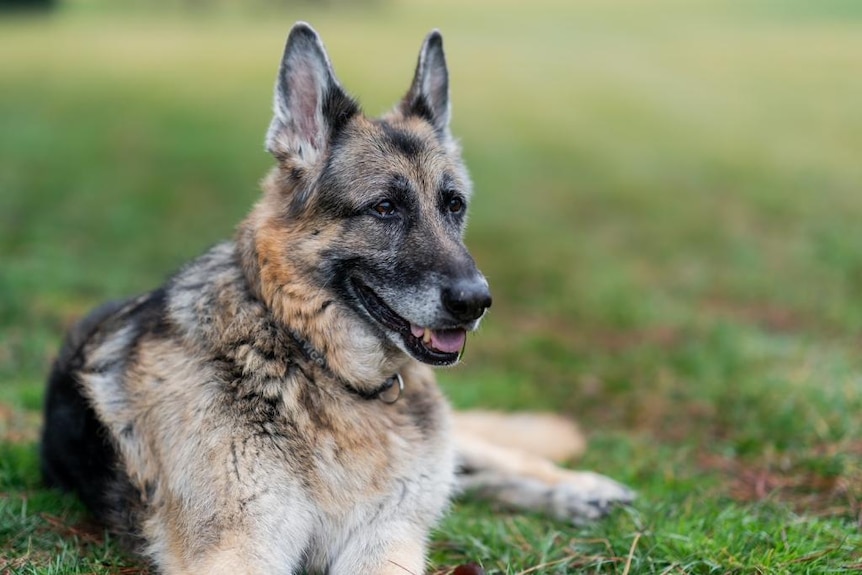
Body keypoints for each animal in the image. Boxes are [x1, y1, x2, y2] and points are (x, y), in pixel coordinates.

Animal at [40, 23, 636, 575]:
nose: (476, 302)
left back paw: (579, 488)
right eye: (384, 208)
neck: (313, 361)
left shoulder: (387, 538)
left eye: (453, 205)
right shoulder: (241, 550)